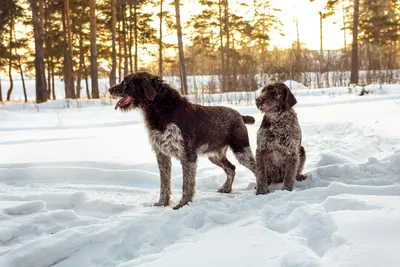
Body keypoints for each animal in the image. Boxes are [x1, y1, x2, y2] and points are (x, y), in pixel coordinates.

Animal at [108, 72, 256, 210]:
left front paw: (183, 203)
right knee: (231, 168)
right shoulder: (162, 155)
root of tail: (240, 116)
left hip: (241, 150)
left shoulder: (188, 155)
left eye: (125, 82)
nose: (109, 89)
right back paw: (226, 188)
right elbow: (164, 183)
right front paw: (162, 203)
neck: (162, 109)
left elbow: (187, 183)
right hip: (214, 156)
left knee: (256, 167)